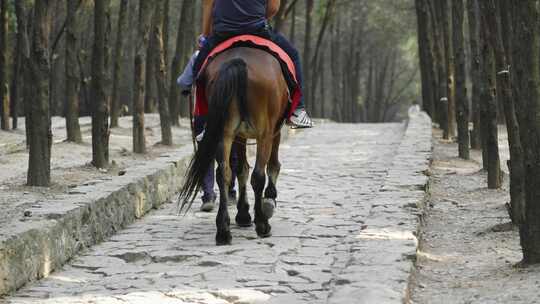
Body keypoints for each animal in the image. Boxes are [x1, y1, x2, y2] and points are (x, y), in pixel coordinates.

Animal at [178, 47, 288, 245]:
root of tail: (239, 61)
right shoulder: (274, 129)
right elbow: (272, 165)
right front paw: (269, 200)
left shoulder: (239, 135)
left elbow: (241, 169)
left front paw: (243, 214)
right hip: (264, 133)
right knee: (258, 175)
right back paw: (262, 224)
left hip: (224, 133)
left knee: (224, 173)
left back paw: (223, 230)